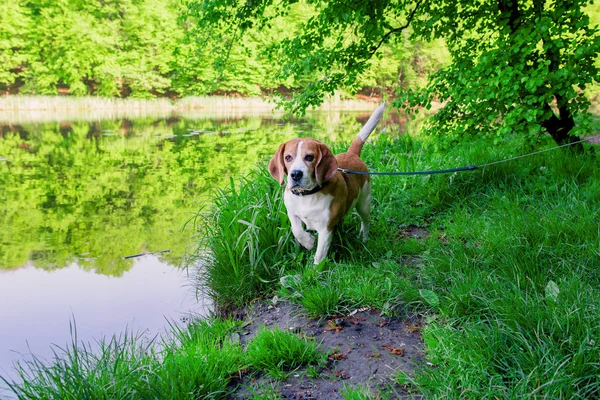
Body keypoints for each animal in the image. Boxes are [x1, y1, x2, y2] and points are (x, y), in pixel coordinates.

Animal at [268, 104, 384, 264]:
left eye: (309, 157)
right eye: (288, 157)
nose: (296, 174)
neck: (307, 195)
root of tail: (352, 154)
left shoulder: (325, 229)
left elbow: (319, 255)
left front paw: (315, 269)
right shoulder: (292, 211)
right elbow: (296, 230)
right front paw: (308, 242)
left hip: (363, 204)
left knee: (366, 221)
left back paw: (364, 239)